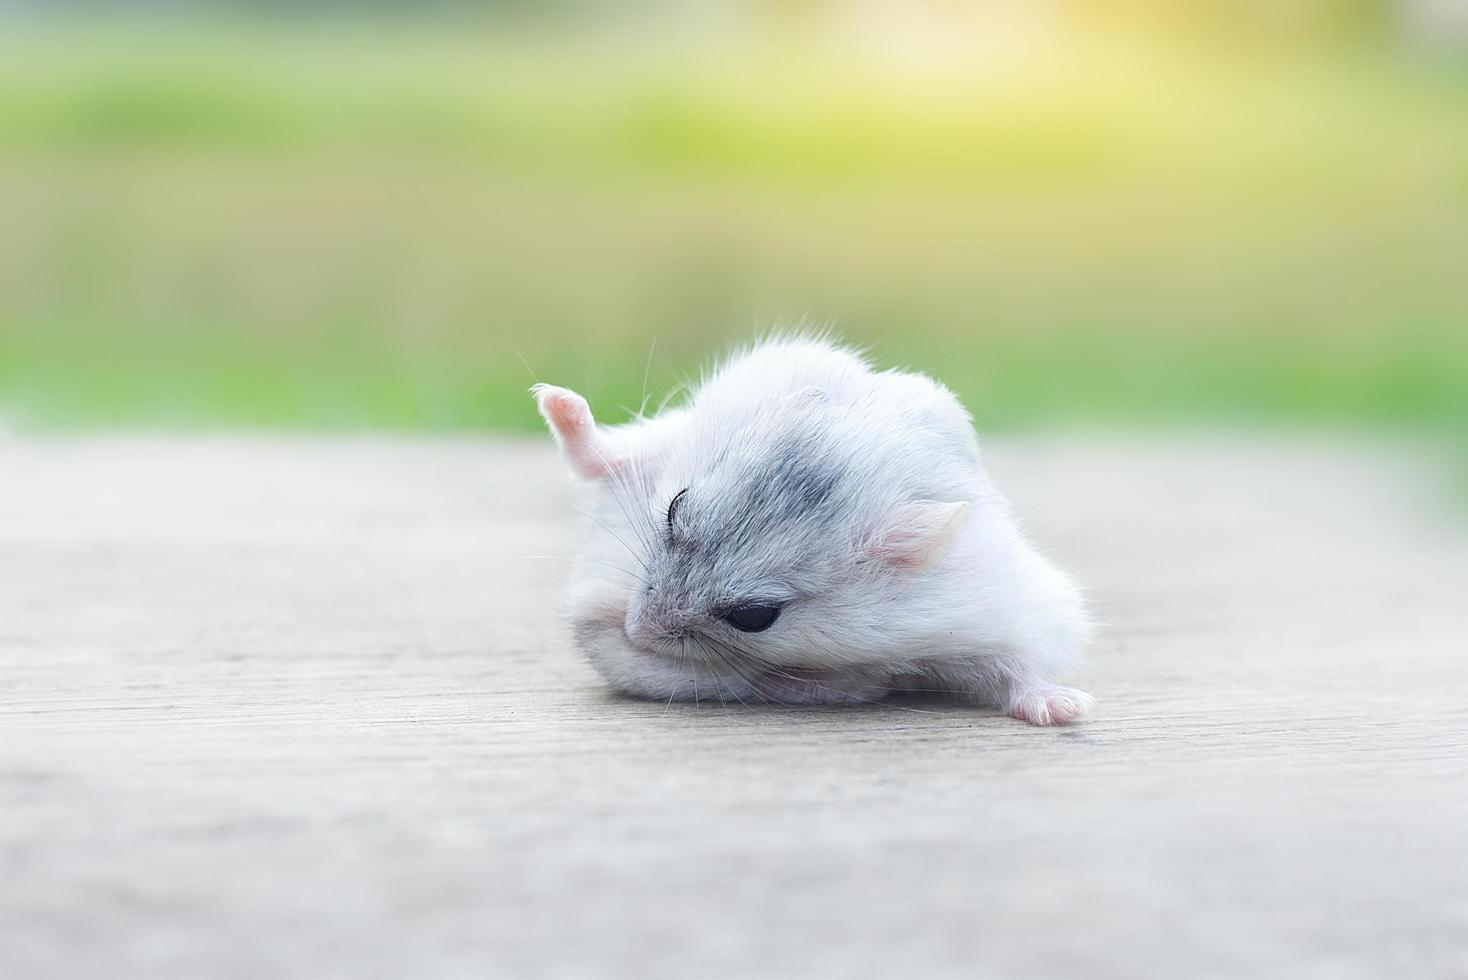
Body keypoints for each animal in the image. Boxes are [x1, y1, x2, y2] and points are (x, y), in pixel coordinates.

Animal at [534, 338, 1098, 727]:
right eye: (674, 508)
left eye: (755, 617)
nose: (635, 631)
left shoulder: (994, 615)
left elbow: (1015, 668)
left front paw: (1070, 709)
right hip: (669, 437)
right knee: (605, 454)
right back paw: (554, 400)